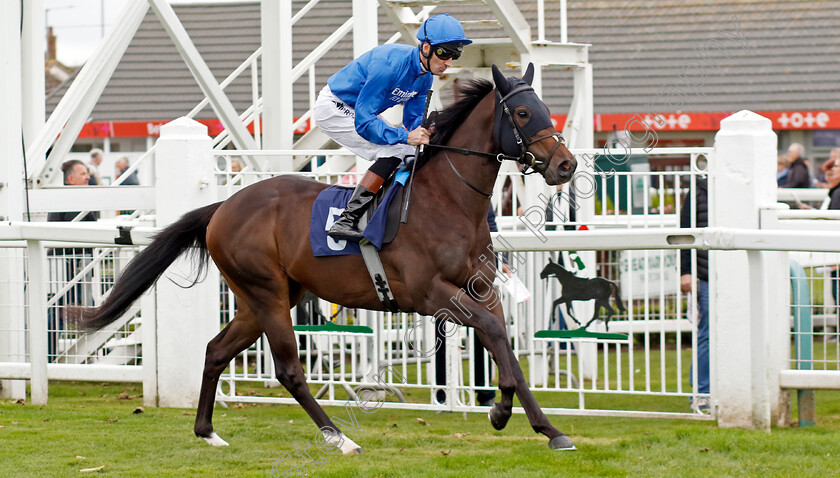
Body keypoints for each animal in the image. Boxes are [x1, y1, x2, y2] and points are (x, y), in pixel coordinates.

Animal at [75, 63, 576, 452]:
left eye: (546, 108)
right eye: (524, 112)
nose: (566, 164)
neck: (446, 200)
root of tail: (222, 207)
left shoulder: (482, 289)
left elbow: (503, 342)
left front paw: (544, 427)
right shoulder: (430, 294)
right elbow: (492, 332)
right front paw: (501, 410)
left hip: (264, 298)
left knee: (216, 350)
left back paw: (208, 432)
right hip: (267, 292)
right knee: (289, 369)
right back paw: (340, 437)